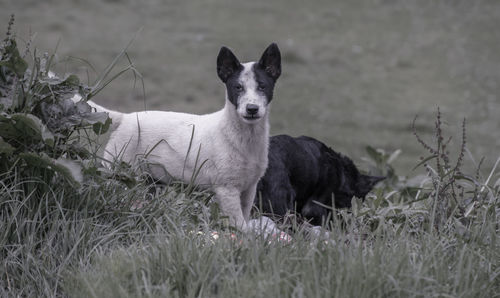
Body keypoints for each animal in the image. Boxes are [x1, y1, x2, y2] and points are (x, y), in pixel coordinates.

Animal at [86, 43, 282, 230]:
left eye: (262, 86)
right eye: (238, 87)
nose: (252, 109)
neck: (242, 137)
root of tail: (125, 118)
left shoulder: (249, 189)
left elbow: (245, 218)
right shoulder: (227, 190)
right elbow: (240, 225)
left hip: (150, 182)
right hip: (117, 172)